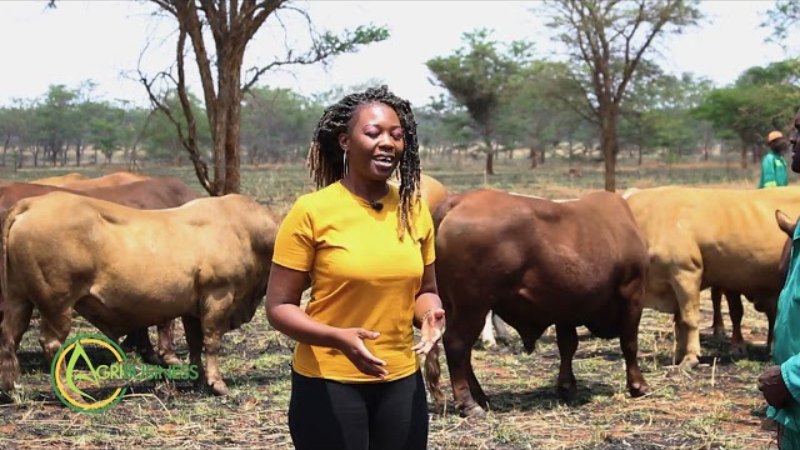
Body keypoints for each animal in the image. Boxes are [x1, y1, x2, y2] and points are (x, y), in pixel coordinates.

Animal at [0, 192, 282, 396]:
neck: (244, 230)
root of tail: (31, 204)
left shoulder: (193, 307)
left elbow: (194, 342)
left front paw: (199, 379)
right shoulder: (219, 296)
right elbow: (211, 341)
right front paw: (217, 384)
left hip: (18, 298)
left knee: (10, 337)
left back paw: (12, 390)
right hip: (57, 304)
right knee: (51, 343)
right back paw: (70, 392)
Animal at [424, 188, 648, 416]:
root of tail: (458, 200)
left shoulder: (566, 307)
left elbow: (568, 345)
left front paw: (566, 386)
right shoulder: (632, 295)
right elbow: (629, 343)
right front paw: (638, 385)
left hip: (452, 306)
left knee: (464, 352)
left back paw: (481, 397)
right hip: (473, 307)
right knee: (456, 344)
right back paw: (469, 404)